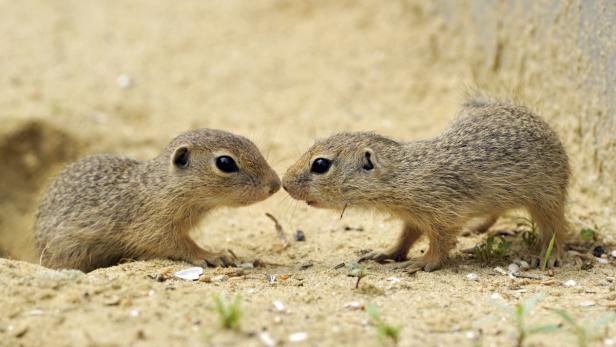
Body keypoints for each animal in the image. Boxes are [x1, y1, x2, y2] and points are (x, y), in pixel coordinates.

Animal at [35, 129, 280, 274]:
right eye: (225, 163)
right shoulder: (155, 230)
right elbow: (182, 246)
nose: (276, 184)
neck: (163, 187)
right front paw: (210, 255)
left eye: (251, 143)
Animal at [282, 98, 572, 272]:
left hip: (546, 198)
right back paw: (477, 227)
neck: (402, 175)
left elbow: (439, 244)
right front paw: (385, 253)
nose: (284, 183)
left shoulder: (443, 217)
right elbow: (405, 238)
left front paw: (422, 263)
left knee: (556, 228)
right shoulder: (413, 218)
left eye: (320, 164)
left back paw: (548, 256)